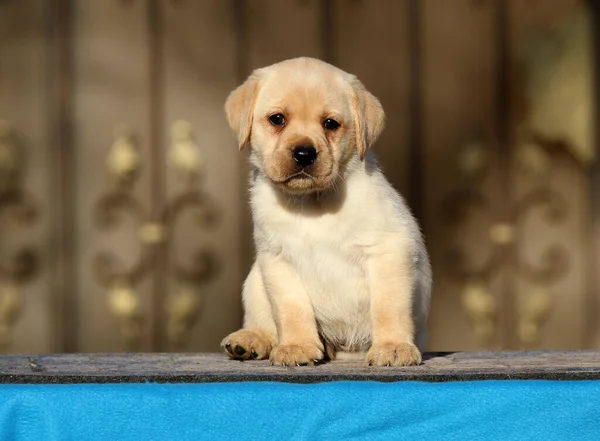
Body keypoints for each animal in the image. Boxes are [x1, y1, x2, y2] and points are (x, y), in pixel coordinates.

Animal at [220, 56, 432, 366]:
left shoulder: (390, 249)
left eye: (330, 124)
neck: (312, 203)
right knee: (263, 321)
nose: (304, 153)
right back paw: (250, 339)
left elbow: (389, 307)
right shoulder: (278, 261)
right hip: (255, 281)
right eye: (277, 119)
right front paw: (297, 346)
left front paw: (393, 346)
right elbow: (291, 311)